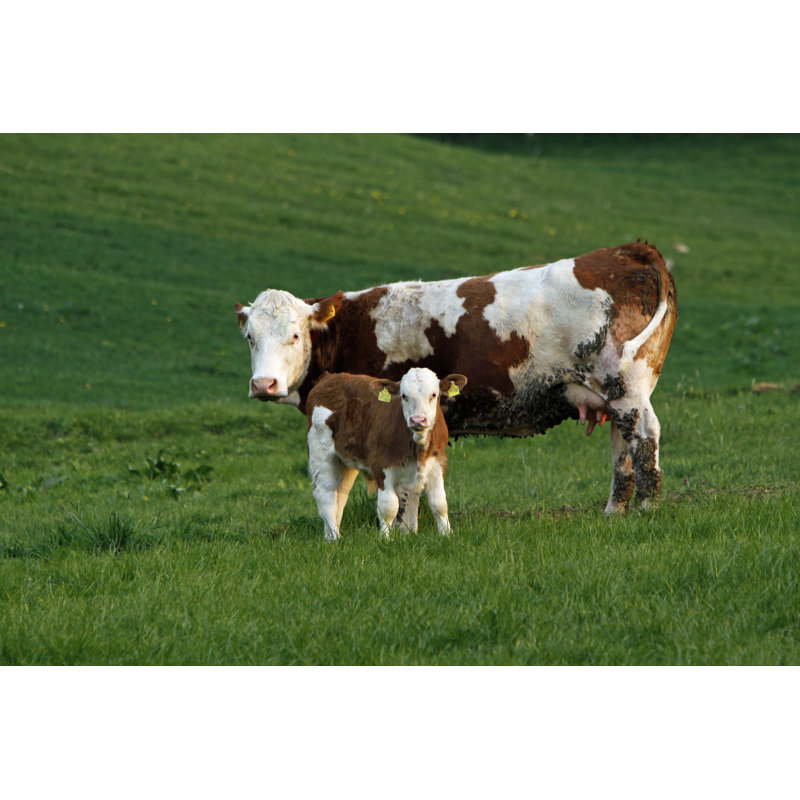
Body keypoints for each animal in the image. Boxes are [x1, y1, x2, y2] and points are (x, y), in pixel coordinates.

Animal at [236, 240, 677, 517]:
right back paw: (614, 510)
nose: (263, 385)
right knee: (622, 445)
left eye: (295, 335)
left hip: (625, 386)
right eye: (249, 337)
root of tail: (628, 249)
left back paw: (646, 508)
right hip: (612, 393)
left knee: (644, 437)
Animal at [306, 368, 468, 540]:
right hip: (320, 453)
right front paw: (385, 539)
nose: (418, 420)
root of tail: (328, 377)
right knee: (326, 494)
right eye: (404, 396)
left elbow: (439, 503)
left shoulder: (438, 463)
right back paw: (334, 538)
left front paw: (447, 535)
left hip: (344, 462)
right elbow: (388, 507)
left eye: (433, 394)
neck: (418, 448)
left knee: (340, 495)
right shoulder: (381, 465)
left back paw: (332, 535)